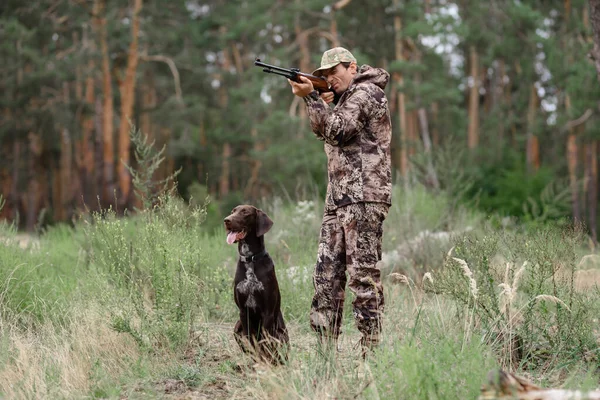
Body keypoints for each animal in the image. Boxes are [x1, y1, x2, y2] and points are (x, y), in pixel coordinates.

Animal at [225, 205, 290, 364]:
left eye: (245, 212)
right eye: (232, 211)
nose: (226, 220)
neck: (250, 259)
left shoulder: (267, 313)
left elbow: (264, 344)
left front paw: (264, 363)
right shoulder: (243, 312)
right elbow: (253, 342)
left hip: (281, 334)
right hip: (237, 327)